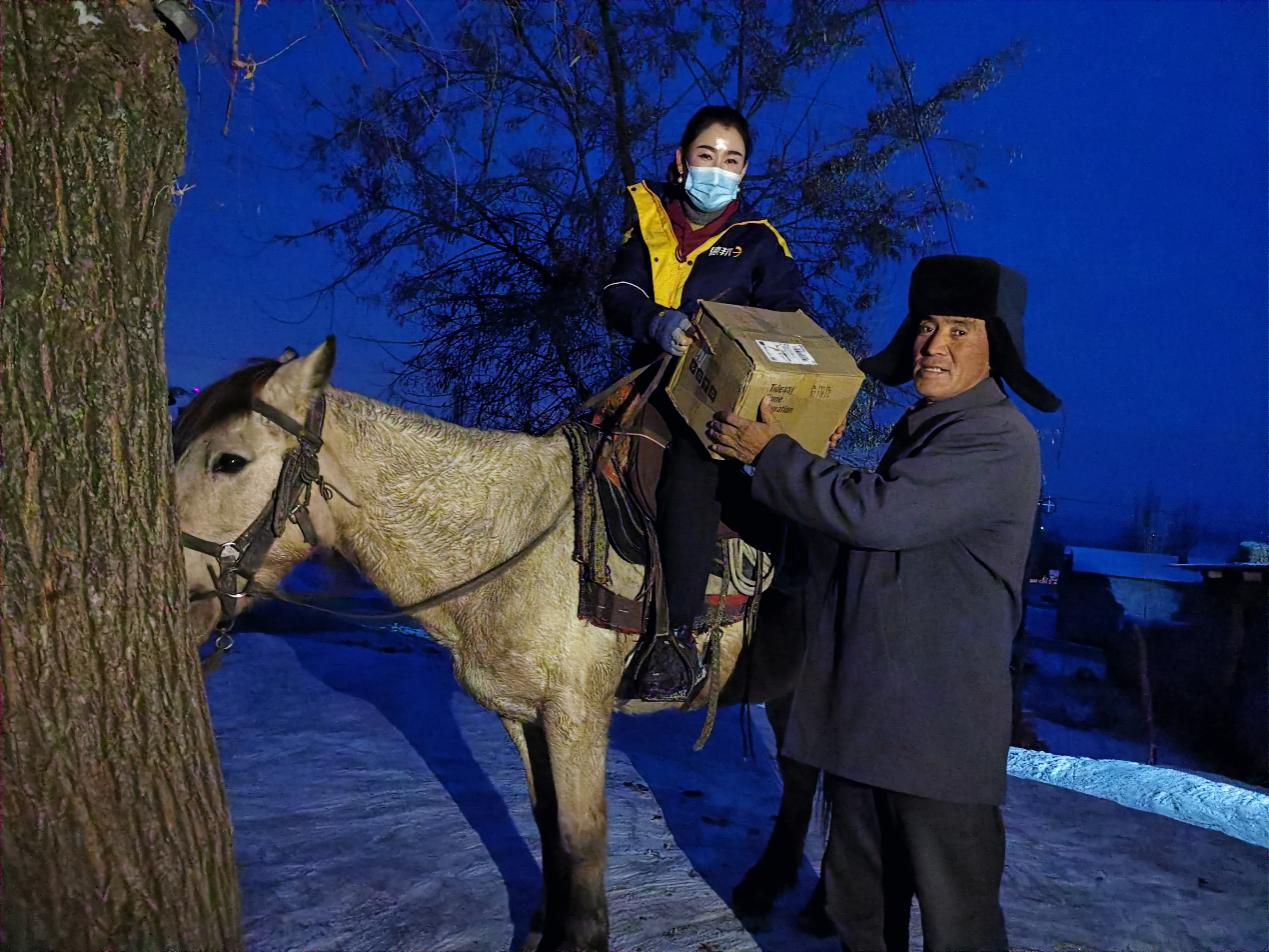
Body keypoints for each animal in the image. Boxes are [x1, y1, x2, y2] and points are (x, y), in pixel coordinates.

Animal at [173, 339, 822, 951]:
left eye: (229, 461)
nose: (176, 593)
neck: (513, 539)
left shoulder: (576, 714)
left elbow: (581, 836)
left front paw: (579, 938)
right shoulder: (520, 714)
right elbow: (547, 823)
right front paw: (542, 929)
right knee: (801, 780)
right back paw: (769, 888)